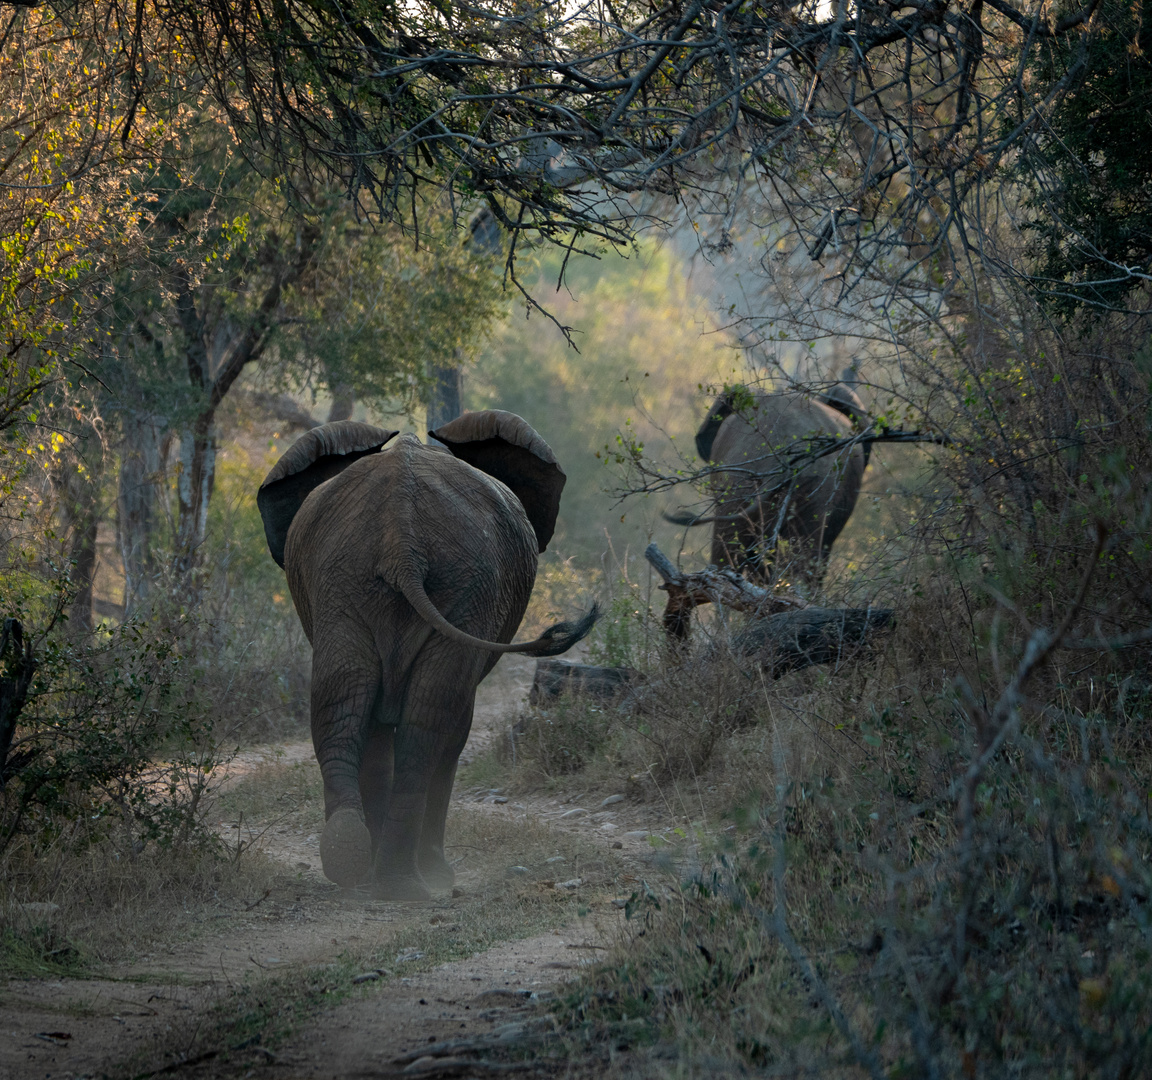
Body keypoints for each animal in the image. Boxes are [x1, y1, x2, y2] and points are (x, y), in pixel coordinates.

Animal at [260, 407, 599, 898]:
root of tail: (401, 537)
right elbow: (449, 730)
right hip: (458, 586)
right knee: (430, 723)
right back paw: (408, 881)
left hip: (361, 581)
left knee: (343, 706)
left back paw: (357, 863)